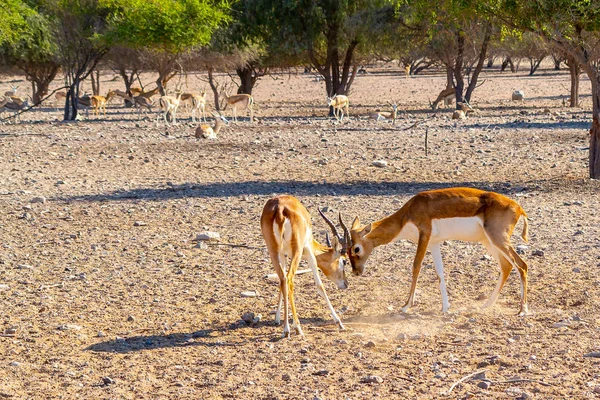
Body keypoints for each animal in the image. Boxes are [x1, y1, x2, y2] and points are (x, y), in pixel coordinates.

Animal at [260, 195, 350, 338]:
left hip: (273, 250)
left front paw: (277, 318)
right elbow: (320, 285)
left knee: (283, 279)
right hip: (297, 250)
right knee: (289, 280)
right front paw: (339, 323)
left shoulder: (283, 254)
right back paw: (295, 328)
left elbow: (281, 283)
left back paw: (286, 328)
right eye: (344, 261)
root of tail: (279, 209)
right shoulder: (308, 250)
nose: (346, 284)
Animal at [342, 187, 528, 316]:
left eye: (356, 248)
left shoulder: (424, 235)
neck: (408, 214)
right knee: (506, 266)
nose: (356, 271)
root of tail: (519, 208)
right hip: (488, 241)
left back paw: (522, 310)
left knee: (521, 265)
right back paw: (487, 305)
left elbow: (416, 266)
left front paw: (406, 306)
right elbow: (440, 273)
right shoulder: (434, 243)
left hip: (497, 239)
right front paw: (445, 307)